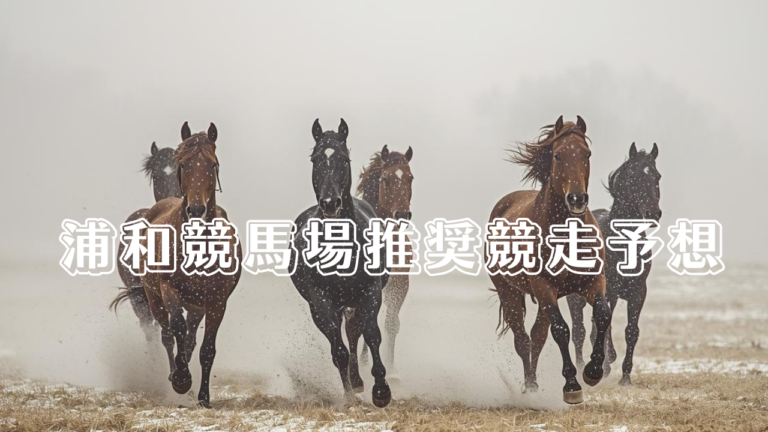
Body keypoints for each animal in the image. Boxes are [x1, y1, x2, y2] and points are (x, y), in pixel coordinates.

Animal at [136, 122, 241, 408]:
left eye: (213, 165)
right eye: (183, 164)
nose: (196, 210)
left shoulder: (217, 301)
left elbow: (206, 349)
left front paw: (204, 397)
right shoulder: (169, 290)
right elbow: (177, 330)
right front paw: (181, 380)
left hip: (196, 306)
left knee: (191, 339)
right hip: (154, 297)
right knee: (167, 335)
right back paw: (175, 375)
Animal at [290, 118, 392, 408]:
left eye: (344, 159)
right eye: (315, 159)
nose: (330, 203)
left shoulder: (370, 293)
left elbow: (371, 335)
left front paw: (381, 391)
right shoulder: (321, 301)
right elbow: (339, 350)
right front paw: (347, 398)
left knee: (355, 333)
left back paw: (359, 382)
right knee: (342, 340)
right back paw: (352, 385)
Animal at [347, 145, 414, 379]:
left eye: (410, 178)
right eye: (386, 179)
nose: (402, 214)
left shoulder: (399, 284)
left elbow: (391, 323)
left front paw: (392, 371)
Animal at [487, 116, 612, 405]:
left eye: (587, 154)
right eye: (557, 155)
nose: (577, 199)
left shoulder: (593, 282)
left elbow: (602, 314)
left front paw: (593, 371)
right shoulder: (545, 288)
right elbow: (562, 330)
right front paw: (572, 386)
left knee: (537, 336)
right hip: (510, 292)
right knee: (523, 339)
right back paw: (530, 388)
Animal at [566, 142, 661, 386]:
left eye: (656, 176)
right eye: (633, 176)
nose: (653, 213)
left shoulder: (638, 292)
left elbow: (631, 331)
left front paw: (625, 376)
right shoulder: (608, 291)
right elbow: (602, 327)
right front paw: (606, 364)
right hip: (576, 297)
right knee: (579, 330)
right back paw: (582, 365)